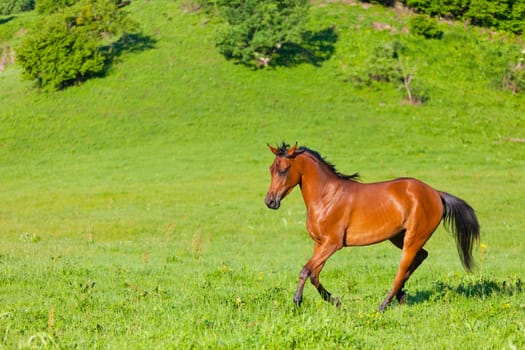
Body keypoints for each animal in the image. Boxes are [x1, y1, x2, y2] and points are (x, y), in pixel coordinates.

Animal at [266, 142, 478, 312]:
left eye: (284, 169)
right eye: (271, 169)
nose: (270, 202)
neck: (326, 196)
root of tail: (436, 193)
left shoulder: (333, 244)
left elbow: (305, 270)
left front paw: (297, 301)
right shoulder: (319, 244)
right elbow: (314, 274)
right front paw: (335, 301)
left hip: (413, 238)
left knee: (402, 268)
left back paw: (384, 304)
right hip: (398, 237)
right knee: (421, 256)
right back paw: (400, 295)